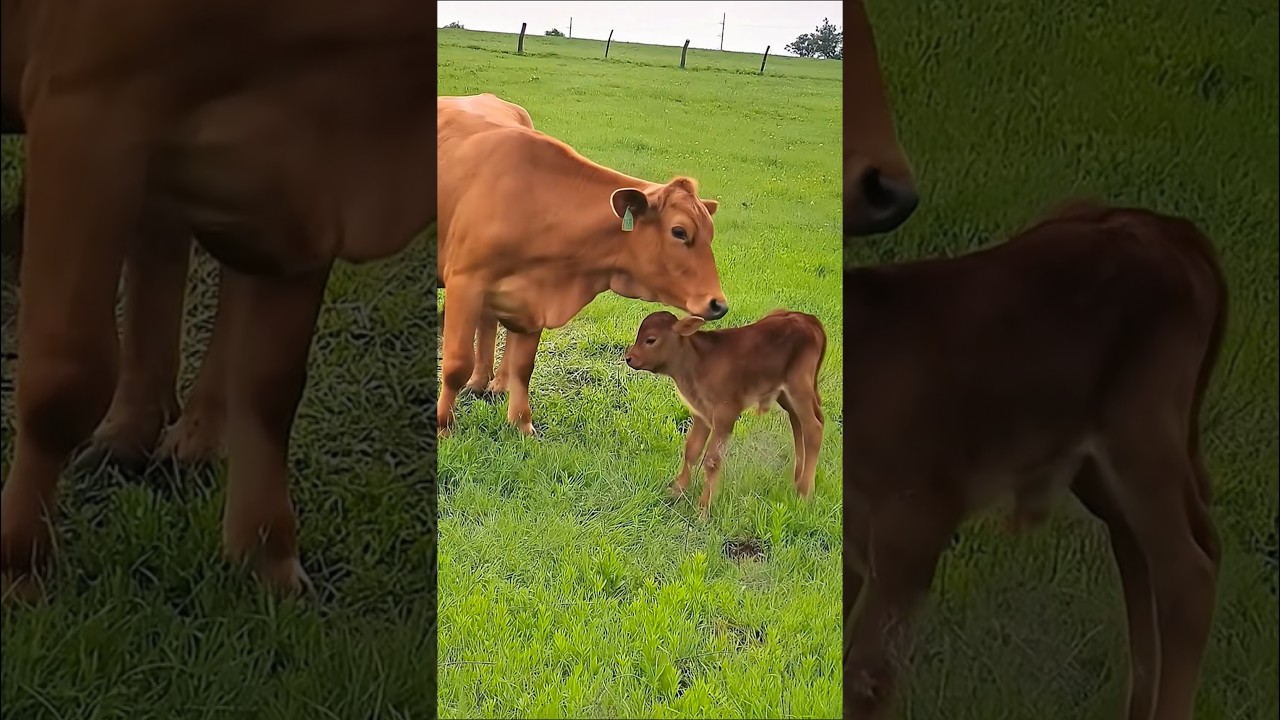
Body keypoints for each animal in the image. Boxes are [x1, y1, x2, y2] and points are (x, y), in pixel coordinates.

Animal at [1, 0, 437, 599]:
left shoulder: (302, 190)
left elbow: (271, 385)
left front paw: (266, 560)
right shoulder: (86, 102)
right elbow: (64, 380)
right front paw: (19, 567)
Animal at [436, 95, 728, 438]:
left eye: (710, 234)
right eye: (679, 232)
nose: (718, 304)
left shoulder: (535, 297)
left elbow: (523, 367)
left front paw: (522, 424)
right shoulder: (466, 282)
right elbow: (456, 364)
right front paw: (443, 426)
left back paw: (490, 383)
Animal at [623, 309, 827, 518]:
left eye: (651, 339)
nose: (629, 358)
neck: (697, 361)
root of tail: (808, 319)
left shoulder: (725, 414)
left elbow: (712, 460)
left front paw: (703, 510)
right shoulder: (701, 413)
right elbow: (692, 450)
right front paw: (676, 492)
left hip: (799, 386)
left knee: (813, 427)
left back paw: (804, 493)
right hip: (785, 394)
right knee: (799, 423)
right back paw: (797, 480)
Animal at [841, 201, 1228, 720]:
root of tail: (1170, 229)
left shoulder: (917, 515)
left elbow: (867, 675)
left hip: (1141, 433)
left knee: (1187, 573)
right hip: (1096, 462)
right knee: (1145, 551)